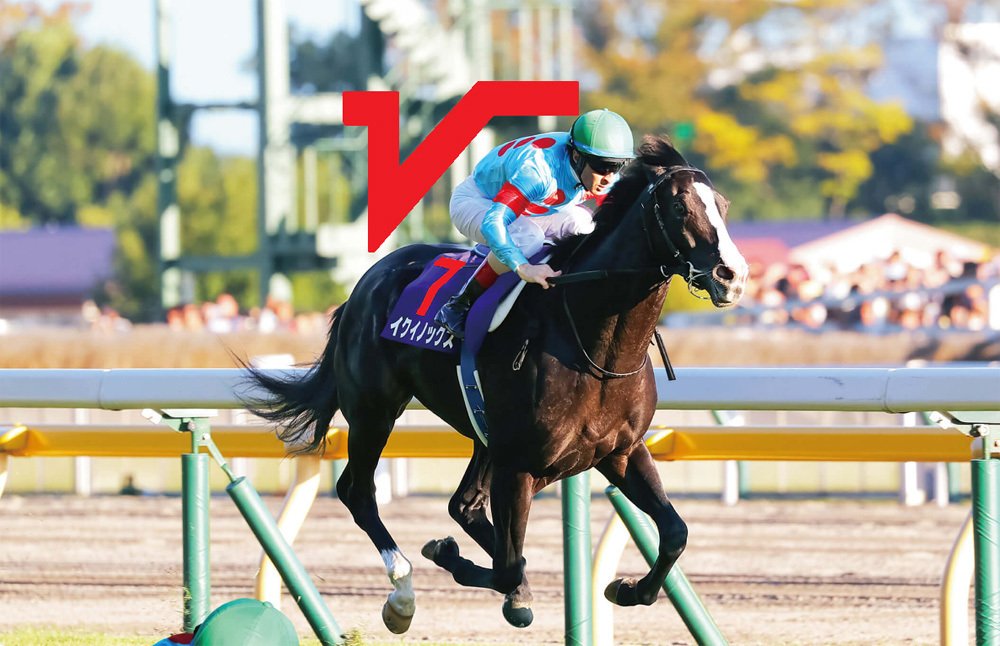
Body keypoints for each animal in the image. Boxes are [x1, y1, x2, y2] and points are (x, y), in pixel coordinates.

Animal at [245, 134, 748, 634]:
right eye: (680, 207)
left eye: (723, 205)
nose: (733, 276)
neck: (592, 344)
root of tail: (363, 285)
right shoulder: (520, 465)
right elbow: (508, 565)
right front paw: (455, 559)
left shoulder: (619, 451)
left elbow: (675, 532)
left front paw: (626, 589)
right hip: (375, 411)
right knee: (359, 492)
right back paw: (402, 594)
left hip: (482, 432)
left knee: (464, 504)